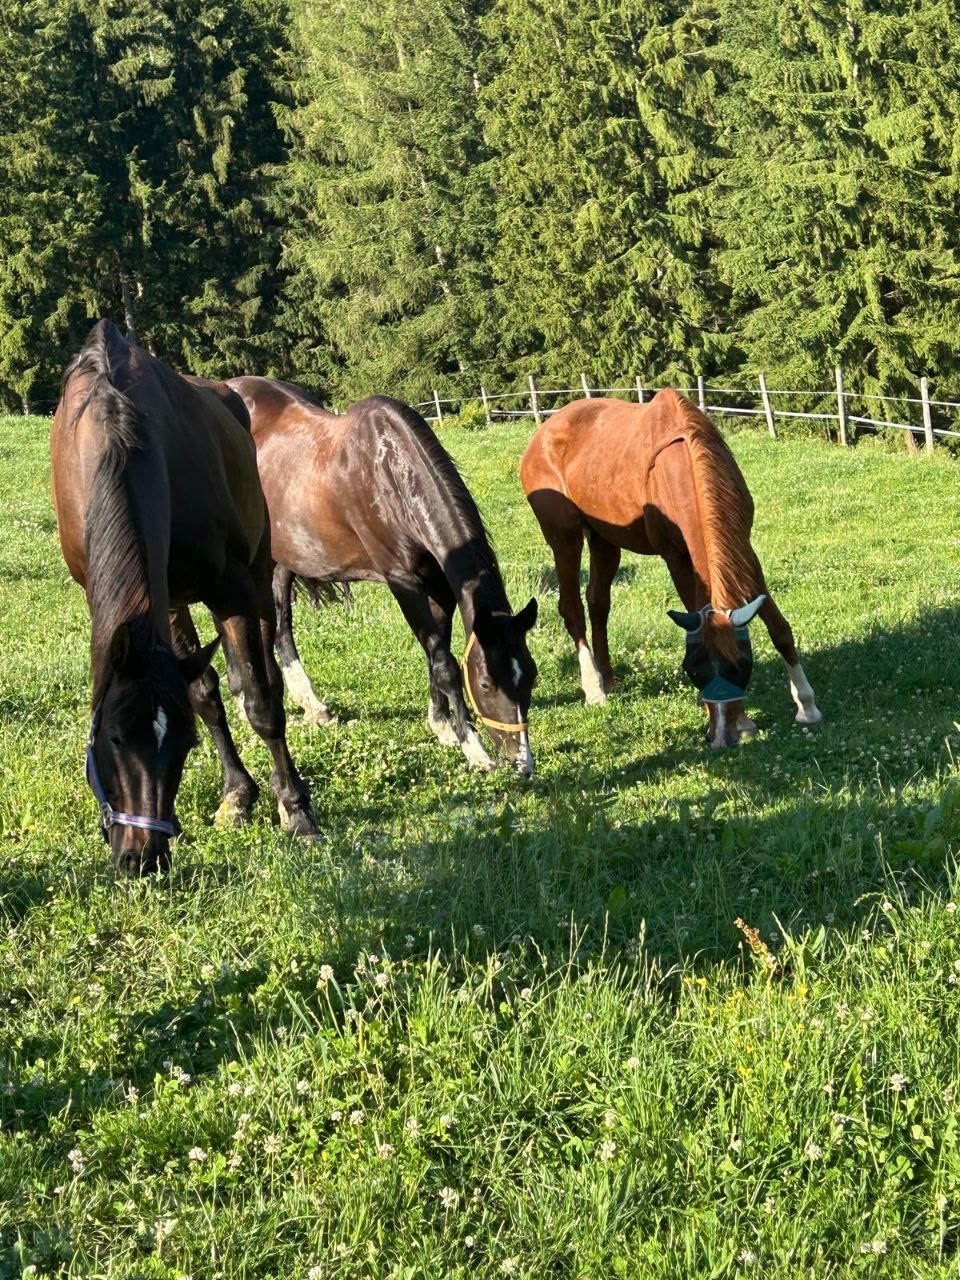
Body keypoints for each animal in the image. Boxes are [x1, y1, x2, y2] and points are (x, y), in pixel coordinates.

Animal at [51, 321, 318, 875]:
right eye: (114, 737)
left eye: (184, 743)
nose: (142, 857)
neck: (115, 432)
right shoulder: (162, 598)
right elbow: (202, 693)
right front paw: (238, 795)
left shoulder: (229, 589)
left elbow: (261, 701)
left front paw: (297, 811)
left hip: (257, 578)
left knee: (267, 671)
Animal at [189, 375, 539, 775]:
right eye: (485, 684)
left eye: (530, 676)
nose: (523, 762)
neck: (391, 473)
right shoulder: (402, 581)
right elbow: (445, 665)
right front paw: (473, 748)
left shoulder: (437, 585)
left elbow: (437, 656)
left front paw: (441, 725)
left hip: (282, 562)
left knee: (280, 628)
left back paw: (311, 705)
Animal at [519, 389, 821, 747]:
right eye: (693, 669)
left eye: (740, 666)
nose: (720, 738)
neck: (685, 460)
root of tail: (544, 433)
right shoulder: (676, 558)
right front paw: (739, 720)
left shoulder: (743, 547)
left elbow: (779, 629)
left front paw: (806, 705)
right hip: (564, 536)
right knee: (572, 608)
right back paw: (594, 689)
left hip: (604, 539)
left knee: (598, 601)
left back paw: (608, 678)